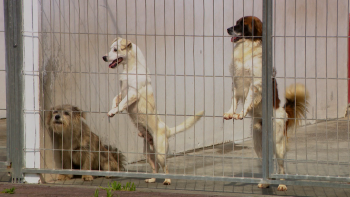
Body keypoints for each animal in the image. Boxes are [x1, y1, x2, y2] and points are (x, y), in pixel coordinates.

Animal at [102, 36, 204, 185]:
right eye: (110, 48)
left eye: (115, 49)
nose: (104, 57)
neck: (131, 69)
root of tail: (167, 129)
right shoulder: (122, 92)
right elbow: (116, 98)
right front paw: (112, 108)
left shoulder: (132, 94)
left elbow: (122, 103)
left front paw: (114, 111)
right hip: (147, 153)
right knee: (155, 167)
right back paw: (152, 179)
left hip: (160, 152)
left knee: (165, 167)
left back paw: (167, 180)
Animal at [224, 16, 308, 192]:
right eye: (236, 22)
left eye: (242, 25)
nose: (228, 29)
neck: (246, 51)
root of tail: (285, 113)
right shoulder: (236, 82)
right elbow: (234, 101)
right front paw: (230, 112)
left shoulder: (255, 84)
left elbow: (247, 100)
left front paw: (240, 114)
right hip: (259, 145)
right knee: (267, 166)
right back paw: (266, 182)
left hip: (278, 144)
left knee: (281, 167)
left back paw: (282, 184)